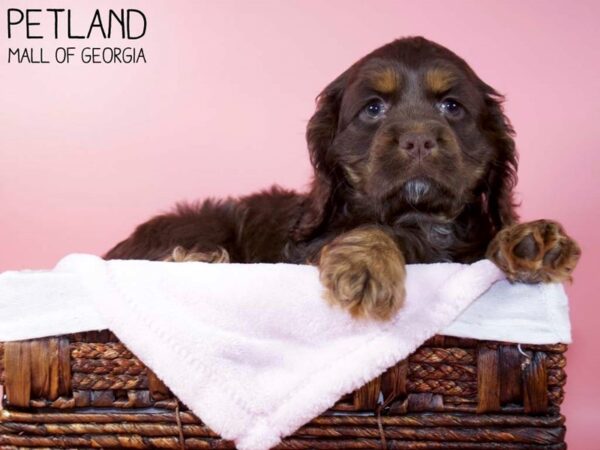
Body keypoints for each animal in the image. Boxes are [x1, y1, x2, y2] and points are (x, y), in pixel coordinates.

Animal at [105, 37, 580, 320]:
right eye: (373, 108)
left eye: (451, 106)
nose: (419, 139)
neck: (420, 217)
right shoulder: (304, 250)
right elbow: (375, 230)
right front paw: (366, 265)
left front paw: (531, 240)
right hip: (201, 222)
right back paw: (197, 260)